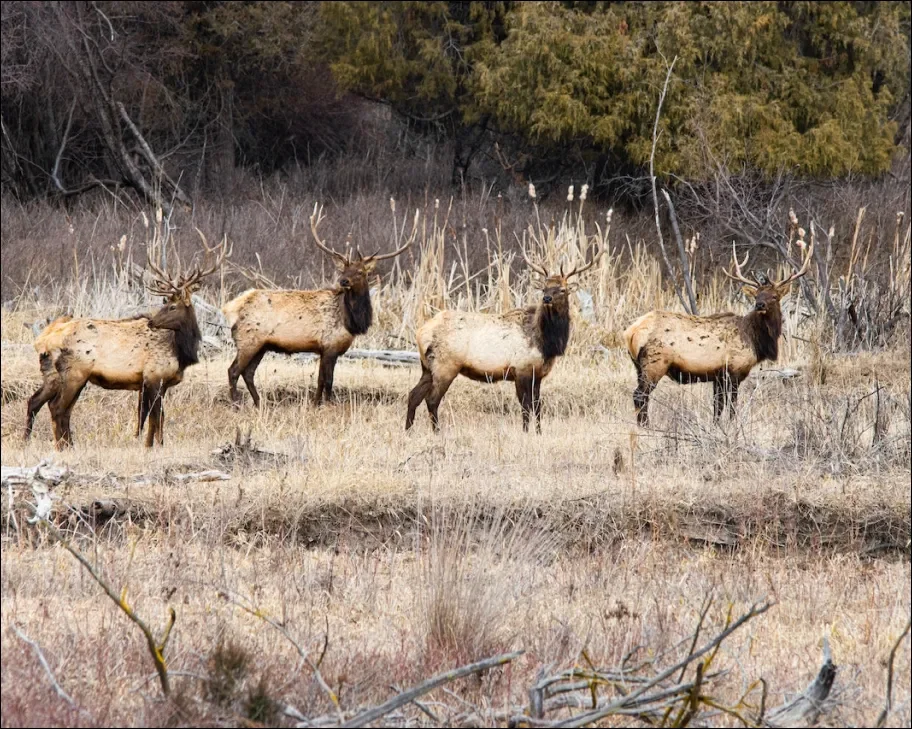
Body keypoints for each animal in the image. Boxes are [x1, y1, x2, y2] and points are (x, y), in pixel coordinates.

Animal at [24, 231, 229, 449]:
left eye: (172, 306)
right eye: (167, 304)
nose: (152, 322)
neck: (180, 352)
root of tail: (43, 340)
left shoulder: (154, 384)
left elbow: (150, 418)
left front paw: (150, 444)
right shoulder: (154, 377)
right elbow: (156, 417)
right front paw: (154, 446)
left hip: (53, 375)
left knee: (36, 402)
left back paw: (35, 441)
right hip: (75, 372)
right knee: (57, 407)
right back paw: (62, 446)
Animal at [222, 204, 416, 406]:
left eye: (361, 272)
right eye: (343, 269)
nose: (343, 281)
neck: (350, 321)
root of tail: (231, 307)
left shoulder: (325, 349)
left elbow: (320, 380)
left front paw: (315, 403)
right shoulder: (330, 346)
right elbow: (328, 380)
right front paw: (329, 404)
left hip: (261, 345)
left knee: (248, 373)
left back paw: (259, 403)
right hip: (248, 341)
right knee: (233, 371)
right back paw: (236, 403)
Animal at [405, 246, 602, 433]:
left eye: (562, 289)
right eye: (544, 288)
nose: (546, 298)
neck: (546, 343)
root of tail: (420, 332)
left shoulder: (537, 374)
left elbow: (537, 405)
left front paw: (539, 432)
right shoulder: (521, 370)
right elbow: (526, 406)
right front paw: (525, 432)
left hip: (427, 368)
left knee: (413, 395)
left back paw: (408, 431)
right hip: (445, 366)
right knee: (432, 399)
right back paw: (437, 432)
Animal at [623, 239, 814, 427]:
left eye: (774, 296)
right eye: (757, 295)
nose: (759, 305)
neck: (755, 340)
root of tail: (631, 332)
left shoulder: (718, 377)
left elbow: (717, 406)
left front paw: (716, 426)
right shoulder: (734, 370)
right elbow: (732, 405)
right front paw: (733, 425)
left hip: (638, 366)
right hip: (654, 363)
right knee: (640, 395)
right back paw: (646, 427)